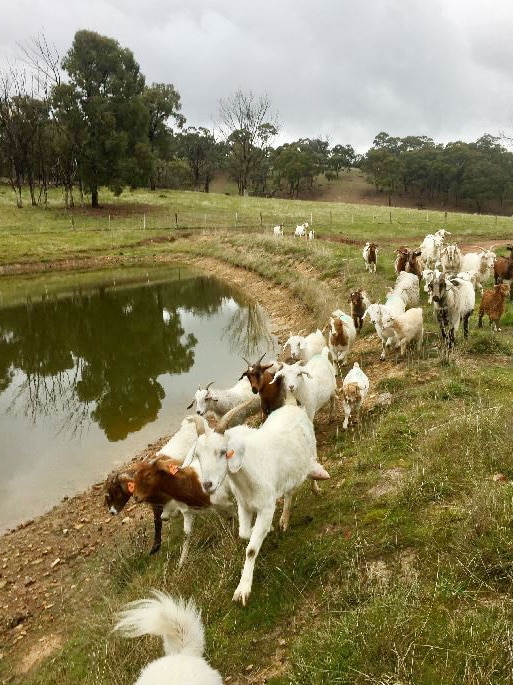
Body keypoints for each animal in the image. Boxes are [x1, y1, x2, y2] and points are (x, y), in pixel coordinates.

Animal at [182, 400, 330, 604]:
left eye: (224, 452)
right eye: (197, 455)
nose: (207, 484)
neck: (247, 477)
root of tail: (291, 406)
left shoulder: (266, 506)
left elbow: (251, 549)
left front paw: (243, 589)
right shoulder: (244, 506)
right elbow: (244, 533)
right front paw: (267, 529)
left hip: (312, 449)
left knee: (309, 467)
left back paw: (316, 482)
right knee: (289, 492)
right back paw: (284, 520)